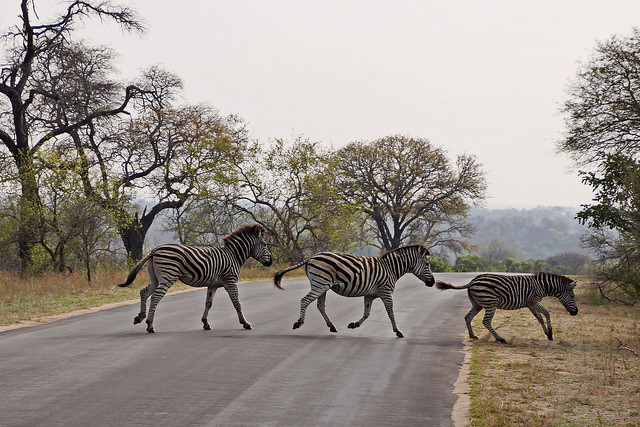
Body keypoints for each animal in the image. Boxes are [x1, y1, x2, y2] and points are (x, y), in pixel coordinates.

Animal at [119, 222, 272, 336]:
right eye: (265, 244)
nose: (270, 262)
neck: (233, 255)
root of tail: (155, 249)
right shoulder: (231, 281)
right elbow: (237, 303)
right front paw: (245, 323)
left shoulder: (213, 285)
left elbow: (208, 303)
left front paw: (205, 323)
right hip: (168, 276)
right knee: (156, 296)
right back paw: (150, 325)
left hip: (155, 278)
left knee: (144, 292)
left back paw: (140, 317)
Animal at [276, 246, 436, 340]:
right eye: (428, 264)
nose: (433, 282)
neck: (391, 269)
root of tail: (312, 256)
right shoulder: (386, 292)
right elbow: (390, 311)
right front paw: (398, 331)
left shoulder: (370, 295)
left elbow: (367, 313)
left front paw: (354, 325)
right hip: (320, 284)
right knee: (305, 300)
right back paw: (299, 323)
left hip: (322, 285)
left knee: (320, 305)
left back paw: (332, 326)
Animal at [436, 274, 580, 344]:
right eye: (573, 296)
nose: (576, 312)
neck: (542, 286)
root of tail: (473, 280)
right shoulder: (534, 300)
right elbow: (547, 313)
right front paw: (550, 332)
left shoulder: (531, 304)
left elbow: (539, 317)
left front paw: (548, 334)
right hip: (491, 303)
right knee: (486, 321)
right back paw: (500, 339)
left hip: (478, 304)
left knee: (468, 317)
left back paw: (473, 335)